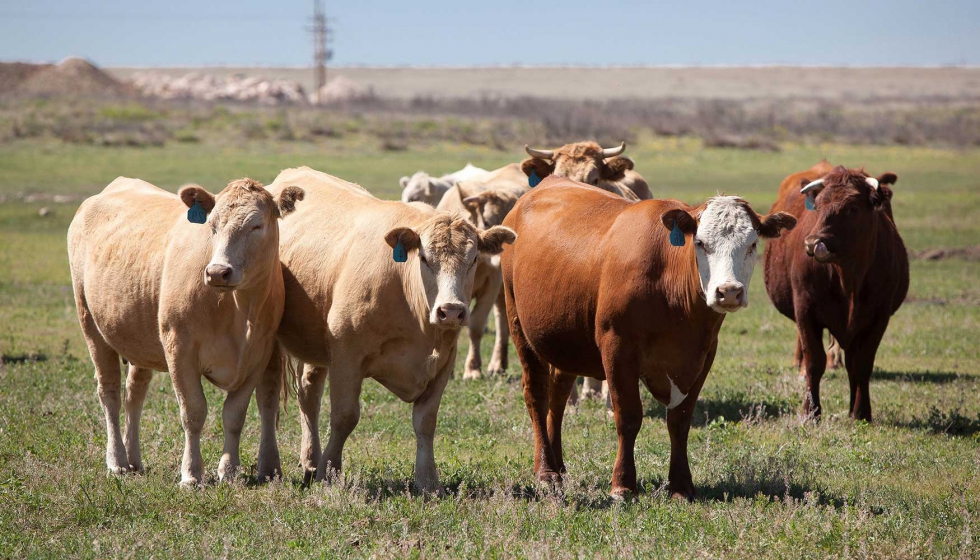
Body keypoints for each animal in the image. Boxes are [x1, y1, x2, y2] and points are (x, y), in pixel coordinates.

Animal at [67, 176, 302, 486]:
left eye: (257, 226)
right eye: (212, 225)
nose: (217, 272)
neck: (237, 309)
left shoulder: (258, 356)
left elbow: (234, 414)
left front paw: (229, 470)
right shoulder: (179, 349)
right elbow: (193, 412)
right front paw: (191, 474)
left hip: (139, 338)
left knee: (134, 393)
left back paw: (133, 459)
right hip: (91, 325)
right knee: (110, 393)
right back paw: (117, 461)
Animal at [264, 166, 516, 494]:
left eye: (473, 259)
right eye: (424, 258)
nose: (451, 311)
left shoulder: (444, 361)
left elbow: (425, 421)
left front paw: (428, 480)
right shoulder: (347, 356)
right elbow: (345, 416)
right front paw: (329, 473)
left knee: (308, 395)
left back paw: (310, 461)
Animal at [502, 176, 792, 498]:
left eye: (752, 244)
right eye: (701, 243)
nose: (729, 291)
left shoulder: (703, 354)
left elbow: (680, 420)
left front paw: (681, 485)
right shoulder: (617, 347)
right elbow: (628, 417)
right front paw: (623, 483)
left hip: (565, 340)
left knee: (558, 395)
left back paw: (559, 464)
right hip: (519, 325)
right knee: (537, 395)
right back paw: (546, 471)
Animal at [760, 162, 908, 420]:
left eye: (852, 208)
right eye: (818, 206)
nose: (813, 242)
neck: (848, 278)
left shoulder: (878, 318)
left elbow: (861, 365)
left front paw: (860, 413)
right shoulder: (805, 311)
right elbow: (814, 362)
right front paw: (810, 412)